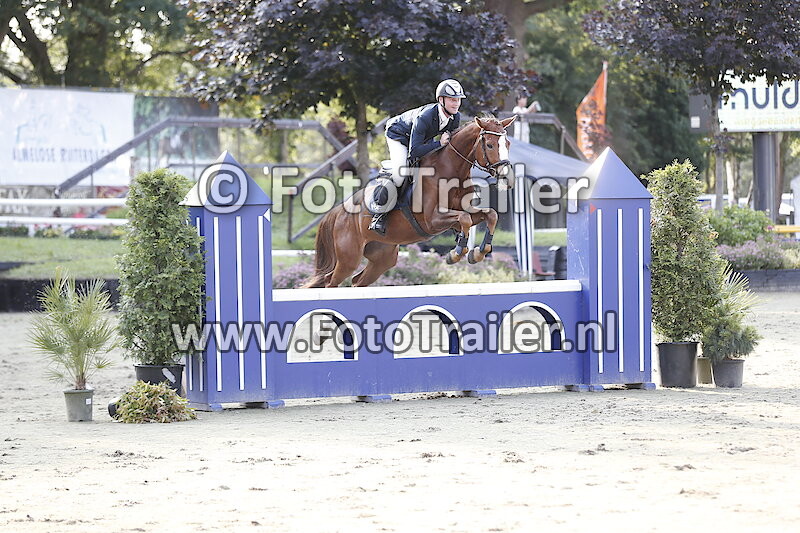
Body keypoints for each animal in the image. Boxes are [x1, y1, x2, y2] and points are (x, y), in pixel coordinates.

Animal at [303, 115, 518, 288]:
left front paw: (479, 253)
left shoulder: (465, 211)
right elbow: (464, 219)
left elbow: (490, 215)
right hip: (349, 258)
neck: (451, 170)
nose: (508, 179)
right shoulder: (433, 220)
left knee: (357, 281)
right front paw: (455, 254)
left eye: (508, 144)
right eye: (490, 145)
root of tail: (338, 211)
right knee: (330, 281)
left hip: (383, 258)